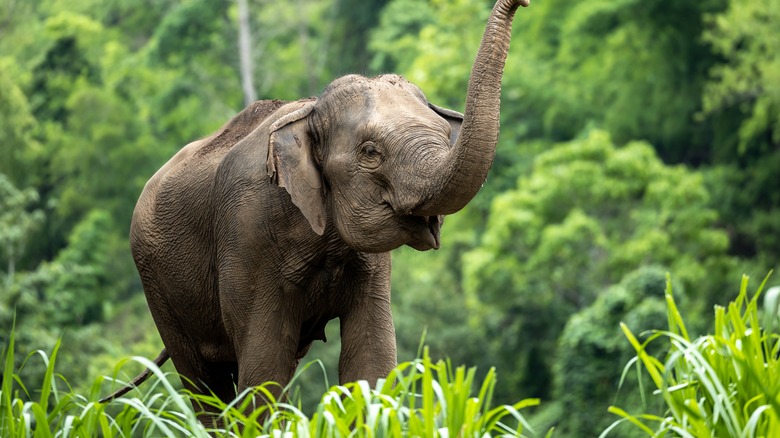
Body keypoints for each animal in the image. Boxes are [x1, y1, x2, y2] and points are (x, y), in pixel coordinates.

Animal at [100, 0, 532, 420]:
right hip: (157, 284)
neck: (309, 112)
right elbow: (264, 369)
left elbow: (370, 359)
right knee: (205, 386)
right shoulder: (248, 232)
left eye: (445, 135)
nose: (521, 2)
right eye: (370, 152)